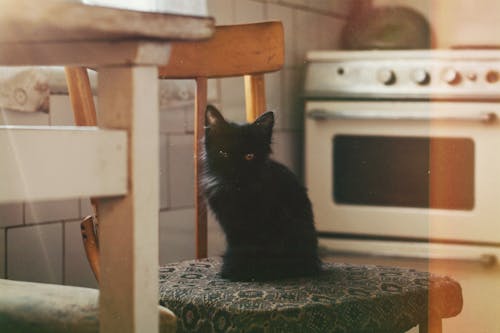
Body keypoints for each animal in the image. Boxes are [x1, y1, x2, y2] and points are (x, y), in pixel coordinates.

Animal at [202, 105, 322, 280]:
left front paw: (245, 272)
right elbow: (238, 248)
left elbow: (253, 250)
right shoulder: (231, 226)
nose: (234, 171)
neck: (237, 191)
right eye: (223, 153)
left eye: (249, 156)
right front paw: (233, 270)